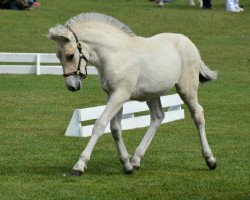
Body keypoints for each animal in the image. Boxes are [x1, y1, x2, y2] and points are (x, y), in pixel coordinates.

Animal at [48, 12, 217, 176]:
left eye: (70, 55)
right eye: (58, 56)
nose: (72, 86)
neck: (114, 55)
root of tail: (188, 42)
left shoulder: (120, 95)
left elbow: (100, 124)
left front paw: (80, 165)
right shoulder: (112, 95)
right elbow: (116, 129)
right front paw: (127, 165)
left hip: (186, 90)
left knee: (198, 114)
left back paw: (210, 160)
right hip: (152, 94)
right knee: (157, 117)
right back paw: (136, 160)